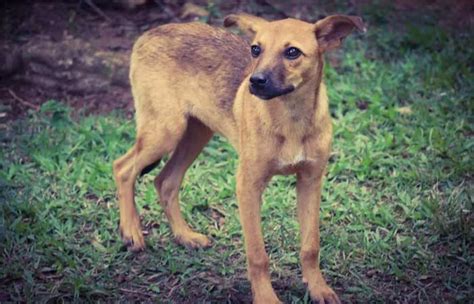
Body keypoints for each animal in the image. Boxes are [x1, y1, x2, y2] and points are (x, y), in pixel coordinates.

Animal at [114, 13, 366, 302]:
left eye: (292, 52)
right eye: (255, 49)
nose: (255, 81)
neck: (291, 119)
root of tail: (149, 33)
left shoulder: (310, 181)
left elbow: (310, 246)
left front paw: (318, 288)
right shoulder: (248, 186)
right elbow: (257, 255)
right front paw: (266, 297)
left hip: (197, 133)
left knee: (165, 181)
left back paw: (185, 236)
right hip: (165, 130)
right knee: (123, 168)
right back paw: (132, 233)